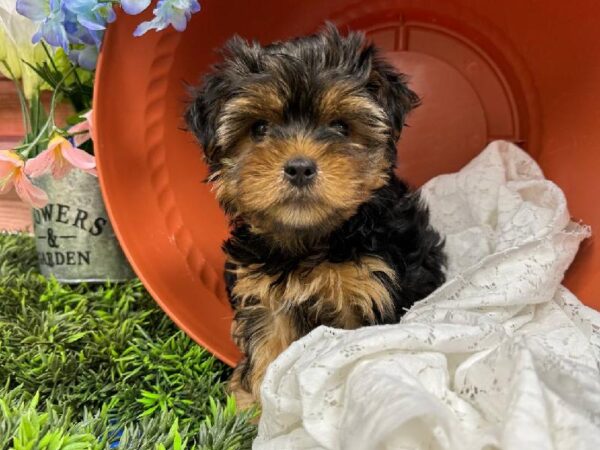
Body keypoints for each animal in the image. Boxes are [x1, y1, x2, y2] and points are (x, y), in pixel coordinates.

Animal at [186, 23, 446, 404]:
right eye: (259, 128)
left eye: (340, 127)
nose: (299, 167)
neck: (311, 241)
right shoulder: (265, 297)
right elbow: (268, 350)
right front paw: (255, 407)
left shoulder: (368, 292)